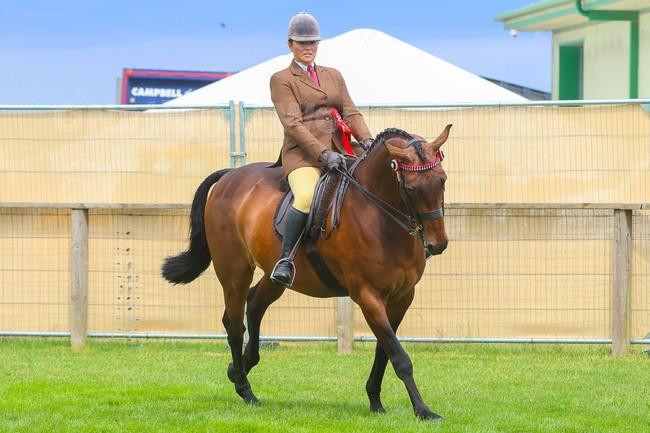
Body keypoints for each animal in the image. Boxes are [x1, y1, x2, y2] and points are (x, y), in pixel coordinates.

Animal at [162, 125, 451, 420]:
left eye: (442, 180)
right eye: (411, 188)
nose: (437, 244)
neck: (378, 216)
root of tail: (229, 176)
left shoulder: (402, 297)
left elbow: (385, 350)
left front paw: (375, 401)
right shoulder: (368, 296)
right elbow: (400, 357)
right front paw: (424, 411)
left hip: (275, 274)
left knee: (254, 304)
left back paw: (239, 367)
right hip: (234, 272)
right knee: (234, 325)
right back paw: (246, 390)